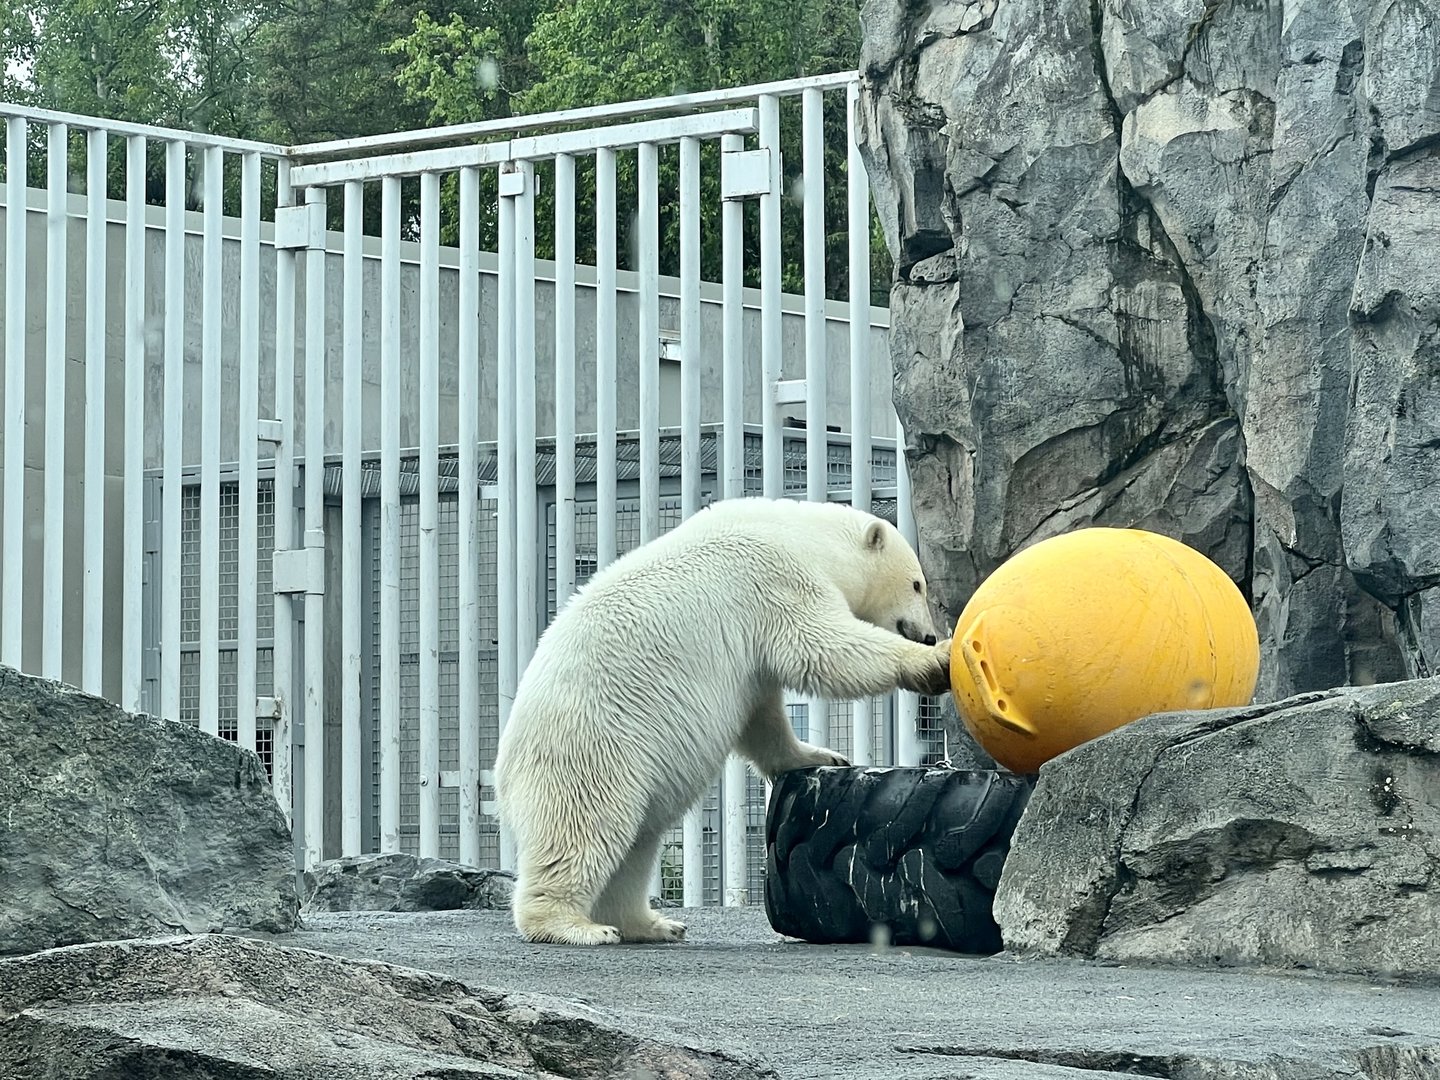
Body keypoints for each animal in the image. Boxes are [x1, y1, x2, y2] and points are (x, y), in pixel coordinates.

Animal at [493, 496, 952, 946]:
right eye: (917, 584)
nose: (928, 634)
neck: (796, 534)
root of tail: (505, 774)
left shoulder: (752, 641)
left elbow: (761, 715)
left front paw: (822, 756)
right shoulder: (775, 580)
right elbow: (823, 646)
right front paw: (936, 661)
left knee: (636, 846)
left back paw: (654, 924)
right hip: (594, 749)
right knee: (583, 829)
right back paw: (575, 926)